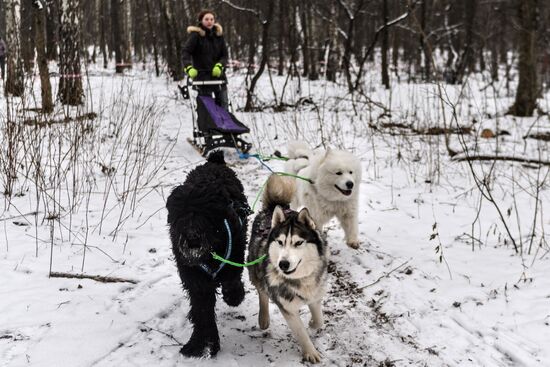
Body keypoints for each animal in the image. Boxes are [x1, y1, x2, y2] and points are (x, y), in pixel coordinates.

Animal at [165, 150, 249, 360]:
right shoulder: (196, 281)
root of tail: (214, 161)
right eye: (182, 213)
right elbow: (203, 313)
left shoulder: (234, 253)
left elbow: (231, 278)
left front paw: (234, 296)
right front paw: (199, 344)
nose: (192, 236)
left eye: (205, 212)